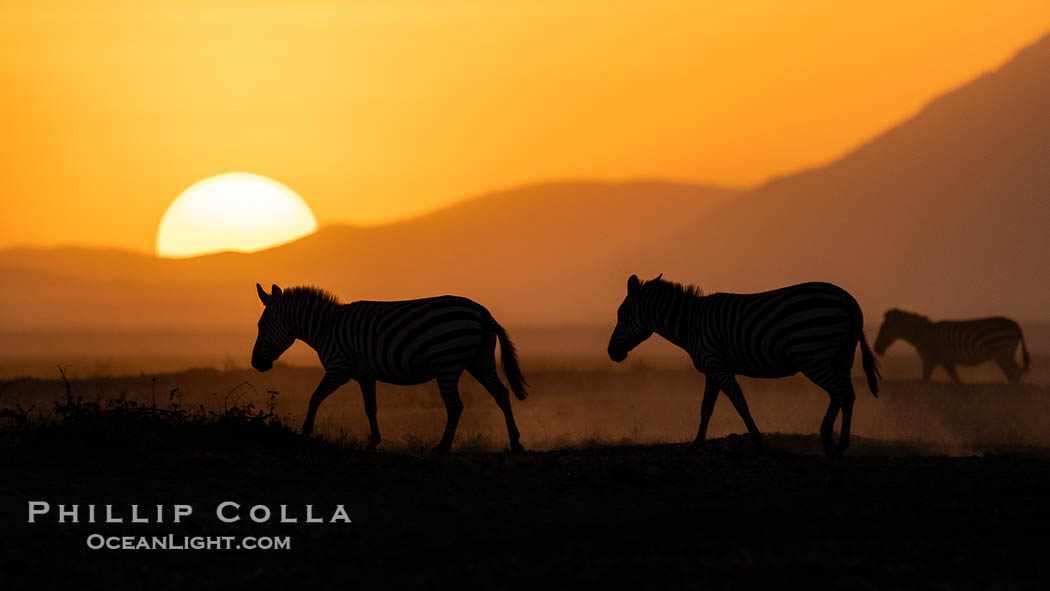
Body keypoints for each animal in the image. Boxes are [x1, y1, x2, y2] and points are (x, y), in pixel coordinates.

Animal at [250, 283, 529, 453]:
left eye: (261, 326)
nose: (255, 364)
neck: (325, 327)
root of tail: (482, 312)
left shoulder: (338, 369)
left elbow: (315, 397)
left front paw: (306, 431)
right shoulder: (364, 376)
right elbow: (370, 408)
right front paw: (374, 441)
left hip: (446, 363)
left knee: (456, 405)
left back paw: (443, 446)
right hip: (479, 360)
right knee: (501, 394)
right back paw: (515, 442)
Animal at [609, 275, 877, 455]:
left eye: (620, 315)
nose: (611, 353)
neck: (691, 324)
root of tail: (845, 298)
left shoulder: (717, 365)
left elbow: (739, 402)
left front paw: (757, 440)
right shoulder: (712, 369)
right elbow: (706, 407)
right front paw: (696, 443)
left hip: (812, 355)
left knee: (840, 392)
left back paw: (827, 438)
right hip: (842, 356)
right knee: (847, 394)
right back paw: (841, 444)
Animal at [869, 308, 1033, 386]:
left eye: (883, 330)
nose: (876, 349)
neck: (922, 334)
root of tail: (1016, 325)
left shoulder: (929, 359)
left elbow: (925, 380)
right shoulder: (946, 361)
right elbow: (956, 380)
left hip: (1002, 352)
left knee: (1014, 373)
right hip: (1006, 353)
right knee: (1014, 373)